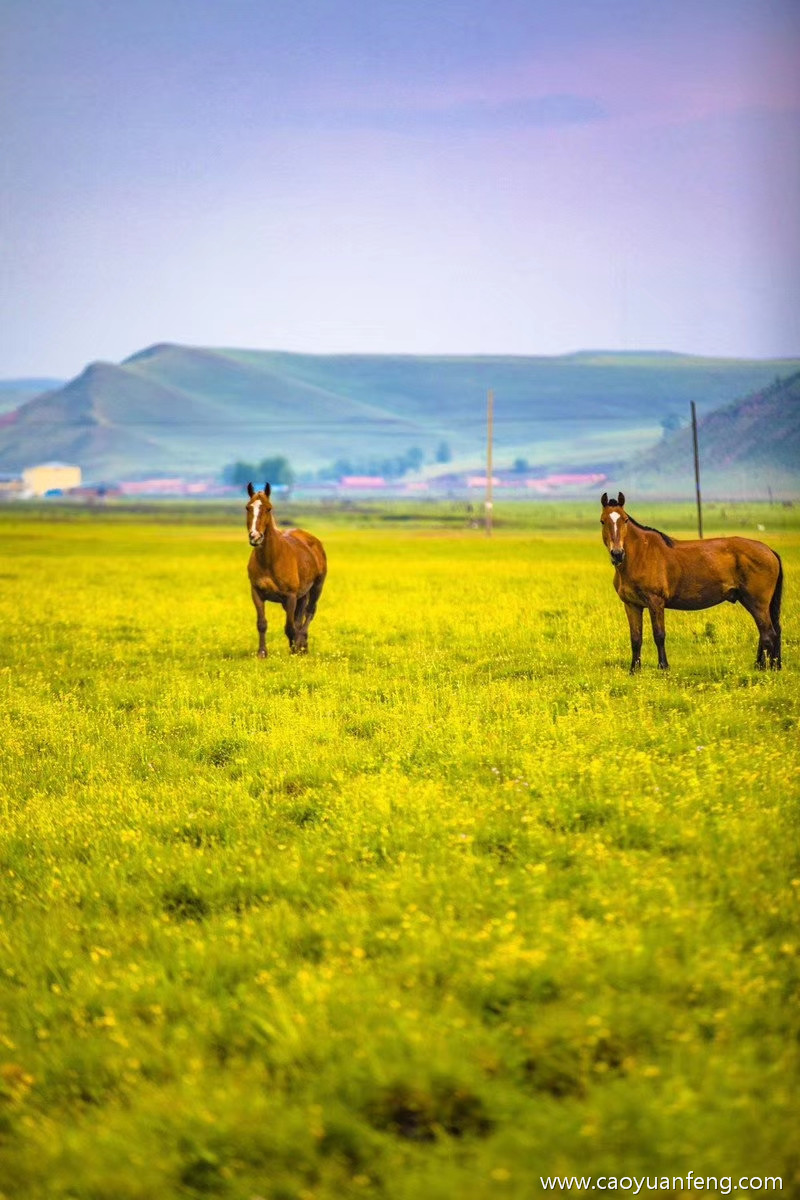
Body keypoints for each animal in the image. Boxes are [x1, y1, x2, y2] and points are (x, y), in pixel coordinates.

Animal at [247, 477, 328, 657]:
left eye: (268, 508)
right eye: (248, 507)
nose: (255, 537)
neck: (270, 559)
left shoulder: (290, 596)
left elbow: (290, 627)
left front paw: (294, 650)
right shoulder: (257, 593)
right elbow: (262, 623)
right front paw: (262, 653)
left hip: (316, 587)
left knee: (309, 613)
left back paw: (302, 644)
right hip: (301, 595)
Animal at [599, 489, 782, 676]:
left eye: (625, 520)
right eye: (603, 521)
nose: (617, 554)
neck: (640, 555)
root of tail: (769, 551)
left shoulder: (655, 602)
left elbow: (659, 635)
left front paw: (663, 667)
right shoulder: (632, 605)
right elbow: (635, 638)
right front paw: (634, 670)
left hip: (757, 603)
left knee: (768, 634)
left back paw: (767, 669)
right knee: (767, 633)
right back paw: (763, 665)